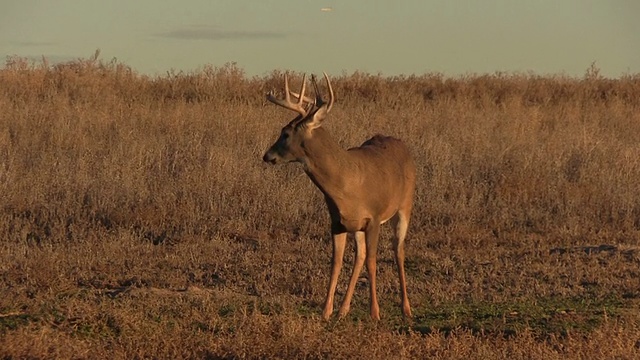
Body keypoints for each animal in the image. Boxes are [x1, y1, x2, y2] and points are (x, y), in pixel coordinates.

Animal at [262, 71, 418, 320]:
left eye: (285, 133)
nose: (267, 156)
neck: (347, 182)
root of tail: (401, 145)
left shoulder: (374, 218)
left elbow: (373, 263)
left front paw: (375, 312)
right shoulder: (337, 221)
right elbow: (336, 263)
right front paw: (326, 310)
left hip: (404, 206)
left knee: (398, 250)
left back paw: (406, 308)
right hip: (357, 226)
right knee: (360, 255)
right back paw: (344, 309)